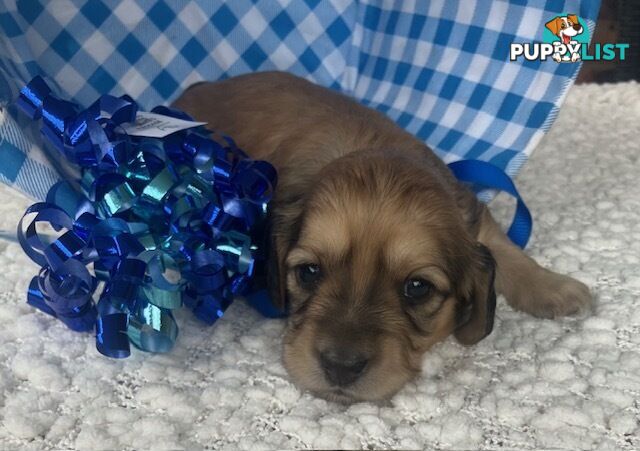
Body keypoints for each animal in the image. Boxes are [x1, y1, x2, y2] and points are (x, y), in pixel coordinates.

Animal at [174, 72, 592, 404]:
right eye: (309, 272)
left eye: (418, 288)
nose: (341, 368)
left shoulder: (473, 216)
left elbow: (504, 248)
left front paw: (554, 287)